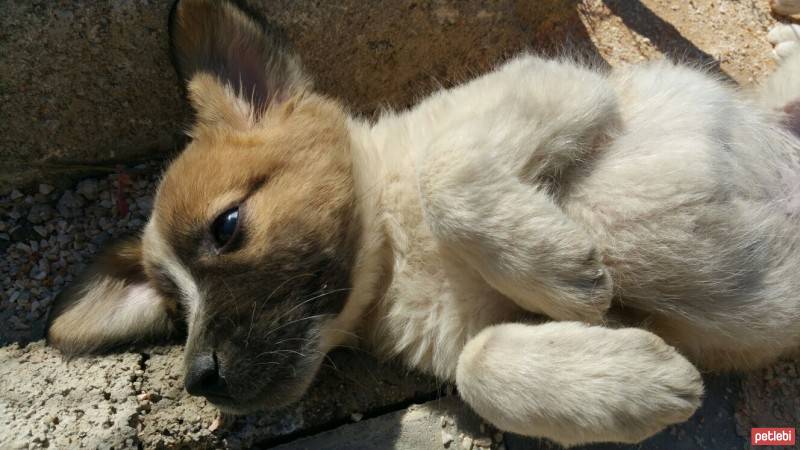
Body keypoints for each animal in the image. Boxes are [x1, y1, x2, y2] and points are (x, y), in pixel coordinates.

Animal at [45, 0, 800, 446]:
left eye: (226, 226)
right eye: (176, 314)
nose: (199, 379)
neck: (396, 252)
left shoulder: (566, 87)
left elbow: (447, 171)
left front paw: (564, 272)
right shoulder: (472, 334)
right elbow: (478, 364)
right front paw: (635, 382)